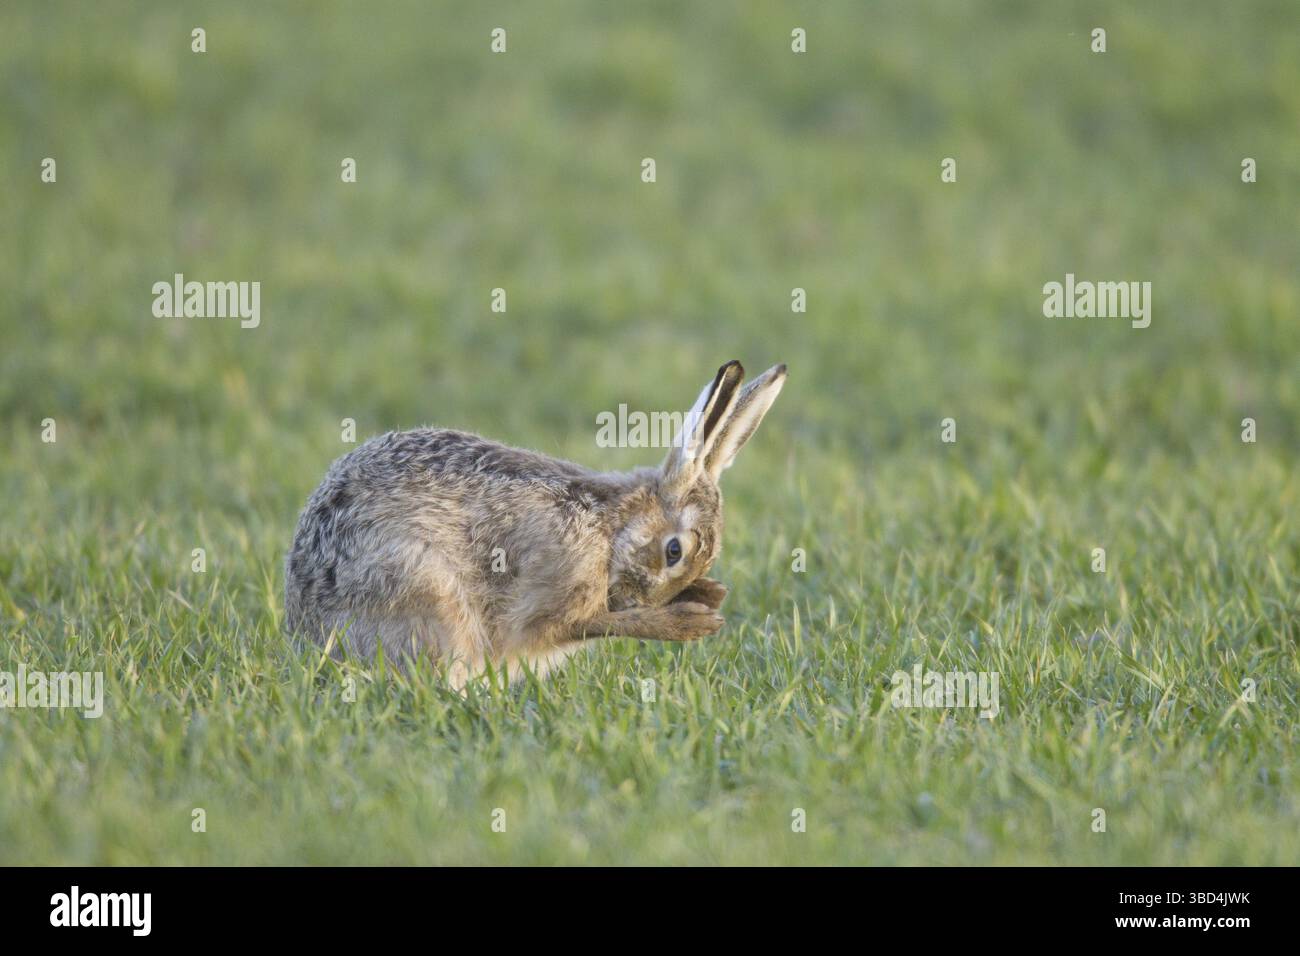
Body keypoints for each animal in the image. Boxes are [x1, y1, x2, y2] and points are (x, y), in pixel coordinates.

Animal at [284, 360, 786, 686]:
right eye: (673, 551)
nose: (638, 600)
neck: (609, 526)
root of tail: (304, 630)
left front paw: (709, 594)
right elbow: (569, 626)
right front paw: (688, 622)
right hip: (427, 591)